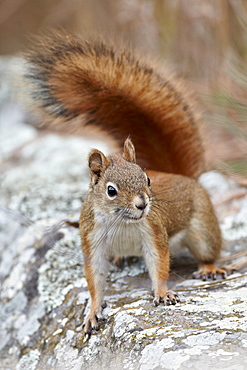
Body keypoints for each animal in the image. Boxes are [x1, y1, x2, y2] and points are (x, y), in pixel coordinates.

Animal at [23, 33, 228, 336]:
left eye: (148, 179)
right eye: (111, 191)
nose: (142, 204)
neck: (121, 223)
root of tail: (182, 176)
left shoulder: (154, 232)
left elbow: (159, 264)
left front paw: (163, 293)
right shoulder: (92, 240)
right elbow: (94, 278)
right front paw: (93, 312)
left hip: (202, 226)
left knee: (207, 249)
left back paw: (209, 267)